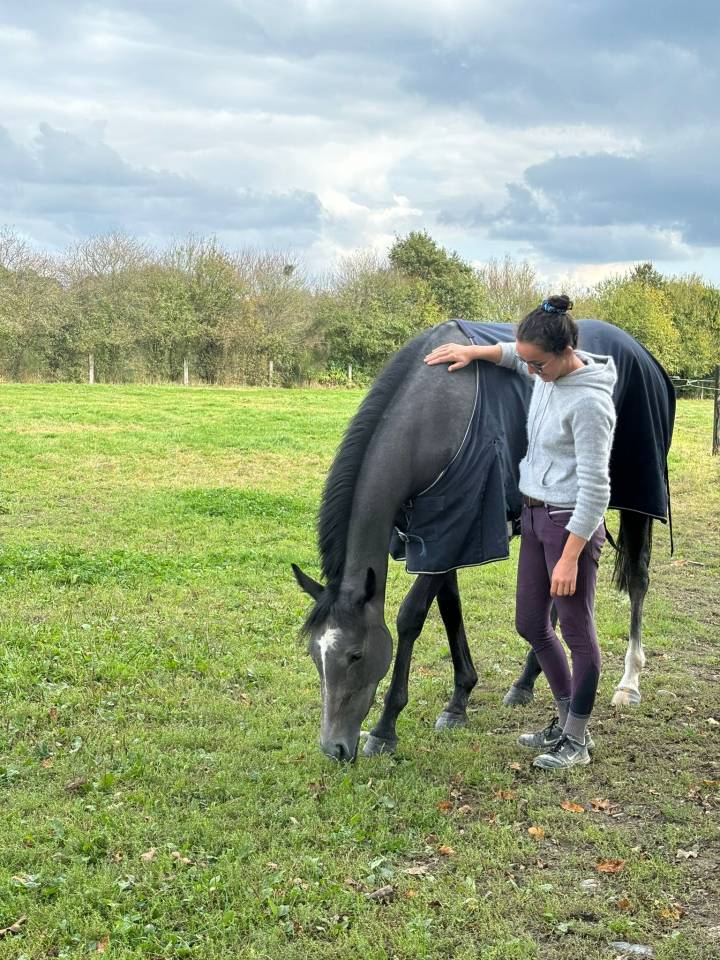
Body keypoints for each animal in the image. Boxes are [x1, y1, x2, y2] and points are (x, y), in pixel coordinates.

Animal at [293, 319, 675, 762]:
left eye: (355, 655)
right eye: (315, 655)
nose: (333, 748)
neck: (427, 418)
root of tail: (645, 356)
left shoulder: (453, 531)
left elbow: (410, 617)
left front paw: (386, 727)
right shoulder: (441, 537)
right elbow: (450, 610)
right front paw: (459, 701)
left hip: (637, 504)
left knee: (639, 580)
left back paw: (629, 684)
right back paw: (525, 683)